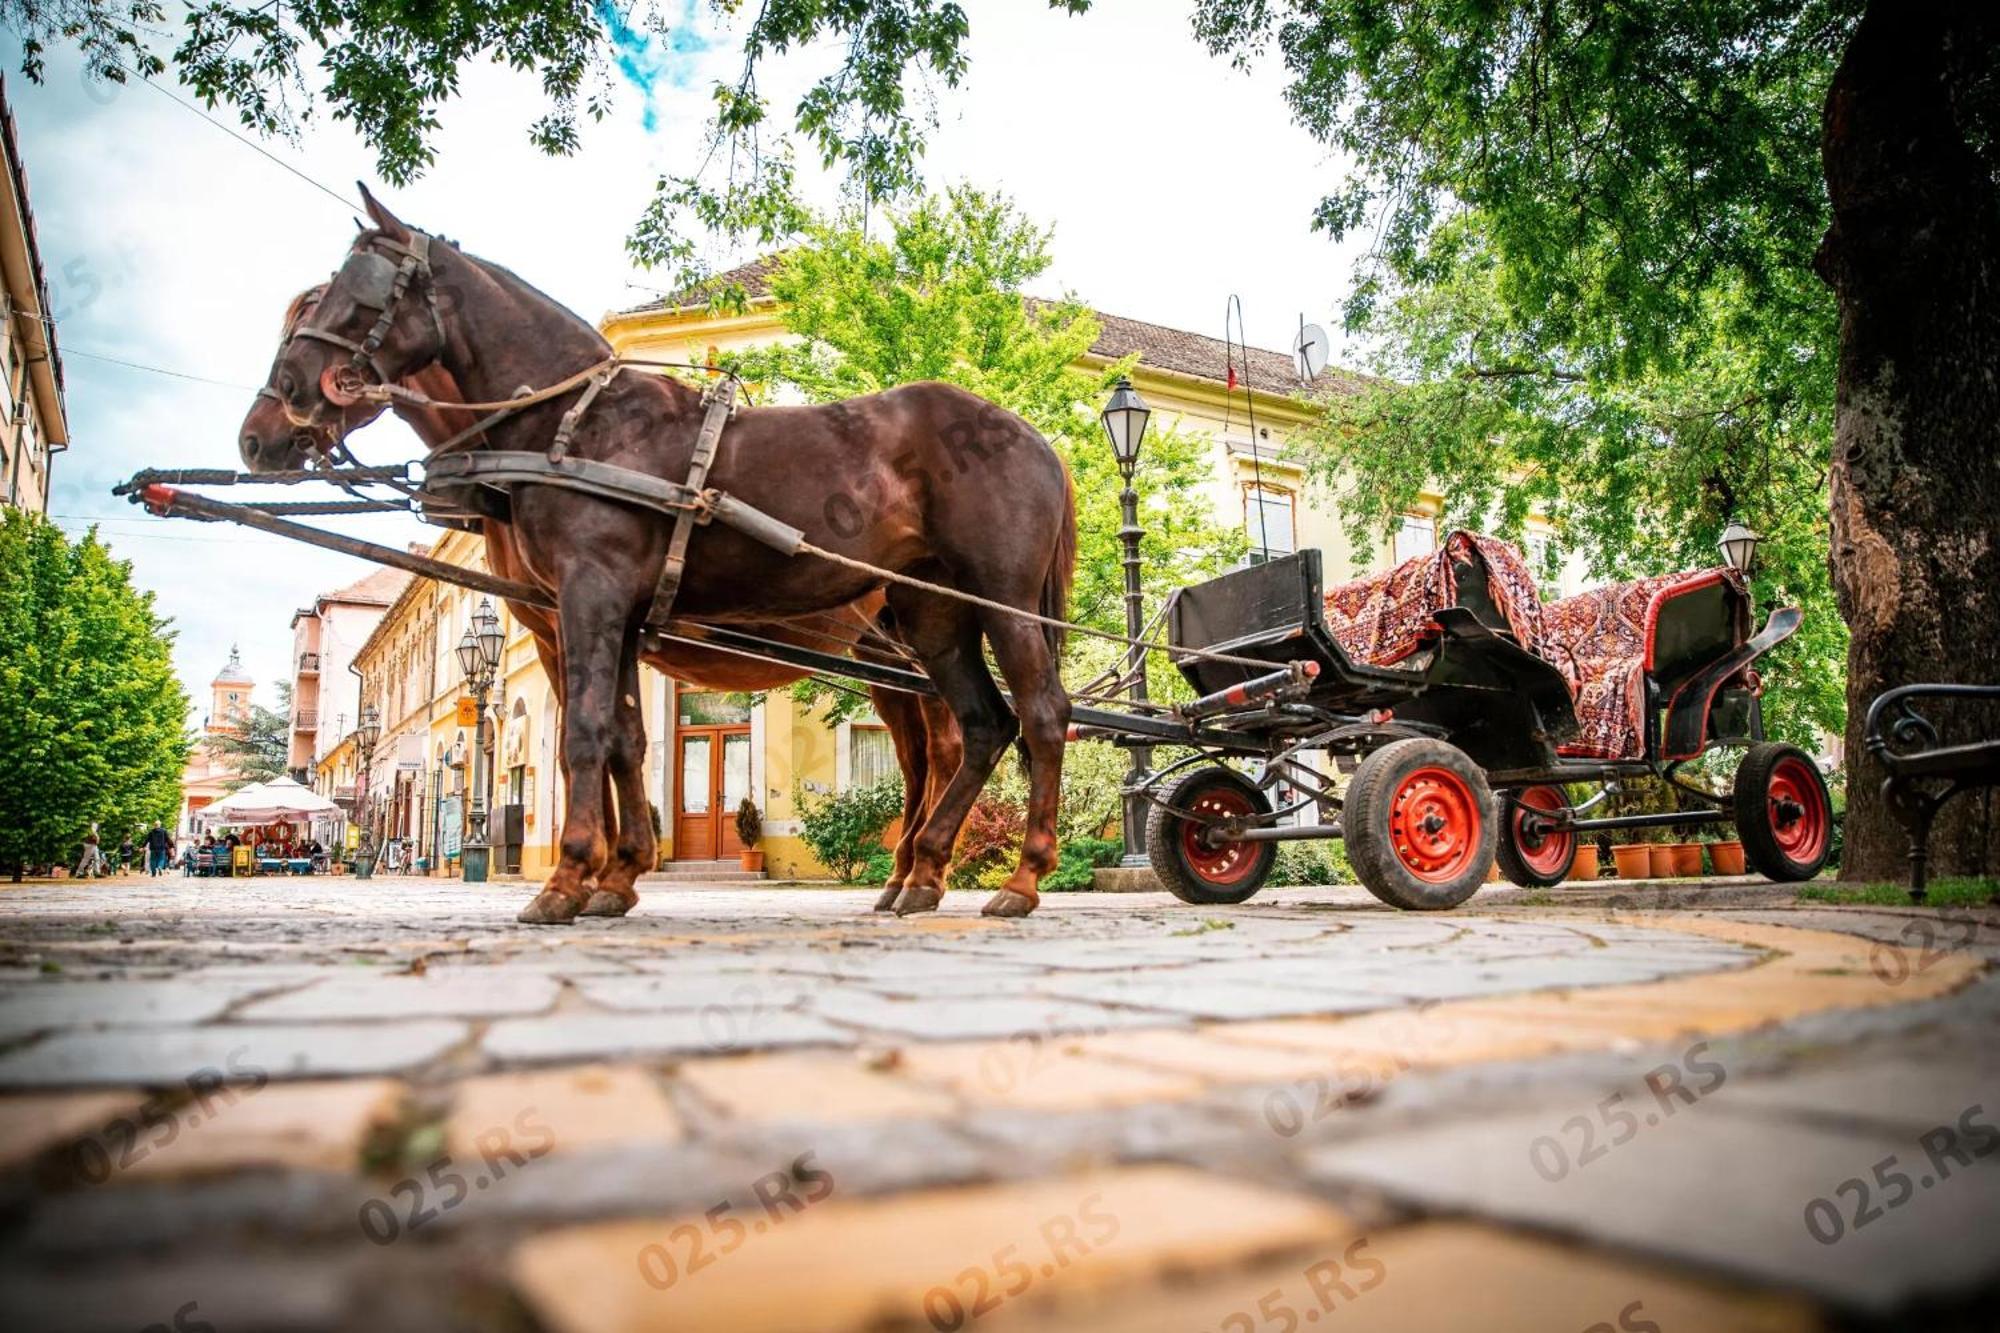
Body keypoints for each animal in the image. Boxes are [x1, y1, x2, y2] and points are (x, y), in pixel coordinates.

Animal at [240, 192, 1072, 920]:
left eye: (352, 295)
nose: (263, 427)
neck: (572, 423)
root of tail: (1034, 436)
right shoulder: (600, 616)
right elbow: (624, 738)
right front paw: (614, 875)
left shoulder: (589, 596)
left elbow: (582, 733)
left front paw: (568, 878)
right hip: (932, 619)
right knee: (978, 729)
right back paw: (921, 873)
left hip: (1000, 605)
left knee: (1040, 715)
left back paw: (1021, 878)